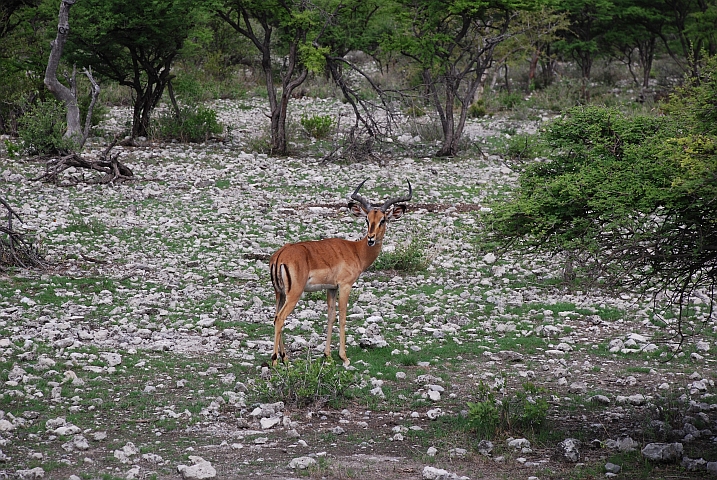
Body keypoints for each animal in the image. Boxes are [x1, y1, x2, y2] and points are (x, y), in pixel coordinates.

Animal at [269, 179, 412, 367]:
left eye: (382, 220)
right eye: (367, 219)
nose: (371, 238)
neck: (356, 251)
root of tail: (280, 255)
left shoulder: (331, 288)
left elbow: (330, 316)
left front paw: (327, 354)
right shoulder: (345, 286)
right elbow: (343, 316)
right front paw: (343, 356)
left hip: (280, 293)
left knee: (275, 316)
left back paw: (284, 357)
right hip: (294, 293)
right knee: (280, 318)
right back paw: (275, 361)